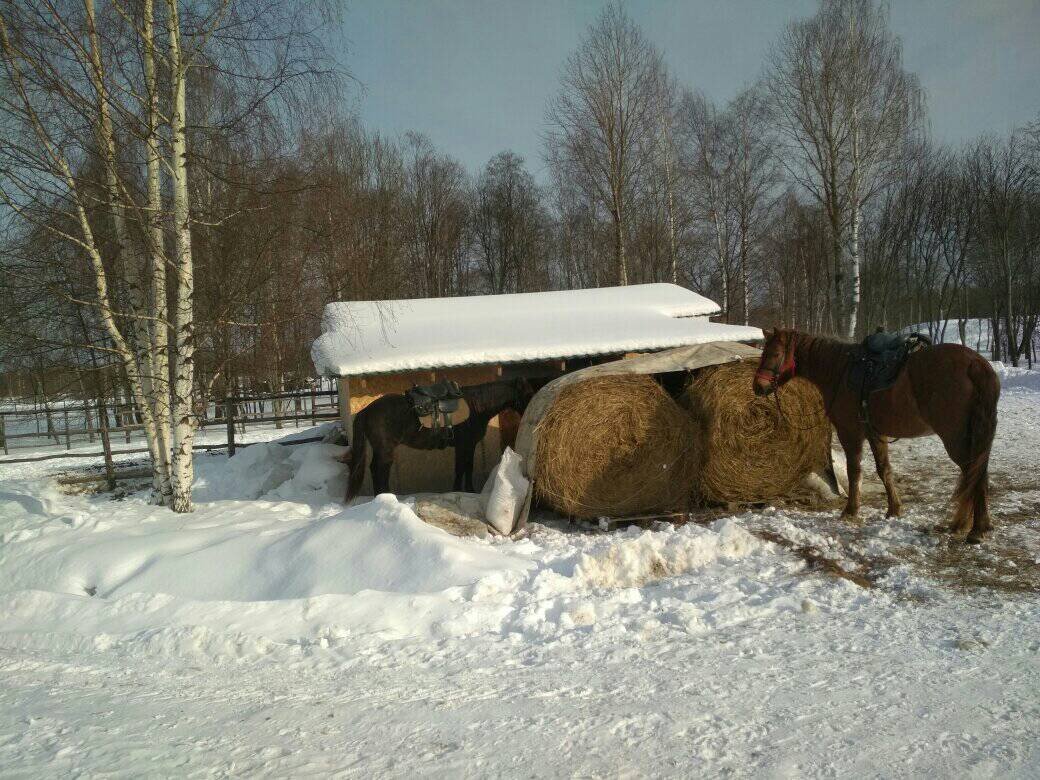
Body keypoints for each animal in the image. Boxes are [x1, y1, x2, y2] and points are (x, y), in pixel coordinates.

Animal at [345, 378, 532, 501]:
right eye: (528, 393)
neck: (476, 407)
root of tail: (366, 411)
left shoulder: (465, 446)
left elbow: (464, 468)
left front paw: (462, 491)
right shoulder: (466, 445)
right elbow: (463, 468)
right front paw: (464, 491)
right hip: (385, 450)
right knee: (379, 470)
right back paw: (385, 496)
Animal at [757, 330, 998, 544]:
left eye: (775, 354)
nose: (757, 386)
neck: (839, 371)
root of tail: (975, 363)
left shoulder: (850, 433)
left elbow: (854, 471)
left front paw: (851, 511)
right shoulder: (876, 434)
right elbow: (885, 471)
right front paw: (894, 509)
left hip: (957, 440)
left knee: (974, 475)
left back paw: (976, 529)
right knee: (975, 475)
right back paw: (969, 525)